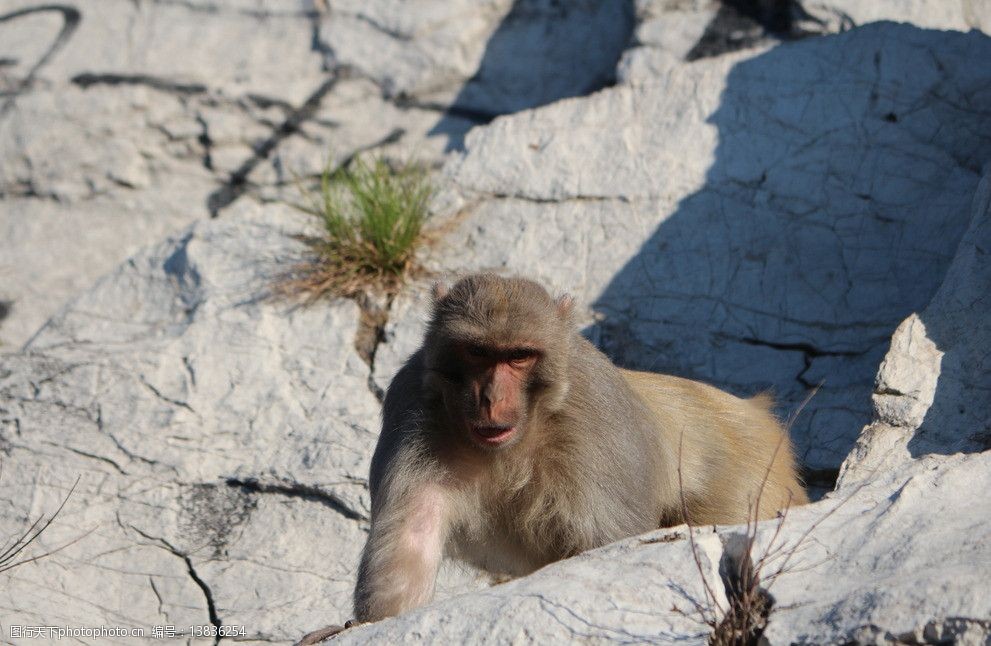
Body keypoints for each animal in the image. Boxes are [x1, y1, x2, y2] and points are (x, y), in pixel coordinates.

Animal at [344, 278, 808, 628]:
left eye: (519, 356)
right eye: (478, 352)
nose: (491, 398)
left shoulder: (593, 417)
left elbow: (608, 541)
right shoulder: (413, 407)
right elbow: (411, 541)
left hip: (745, 476)